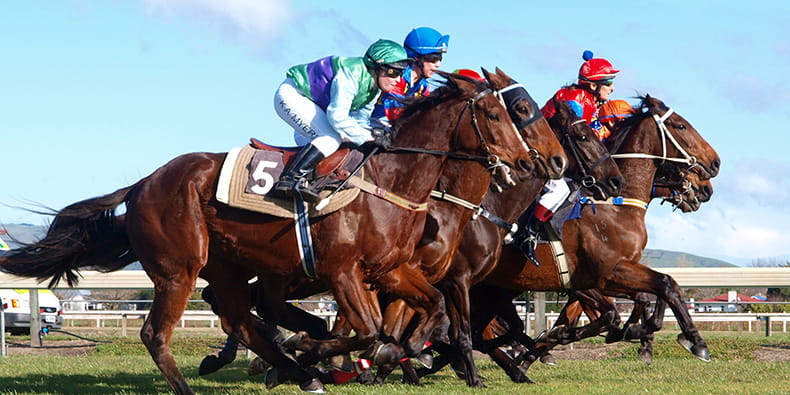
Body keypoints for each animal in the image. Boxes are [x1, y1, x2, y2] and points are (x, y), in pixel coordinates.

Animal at [0, 72, 536, 394]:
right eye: (495, 114)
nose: (529, 161)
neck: (393, 183)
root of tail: (143, 183)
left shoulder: (392, 270)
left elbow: (431, 312)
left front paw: (386, 352)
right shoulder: (345, 272)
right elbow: (367, 329)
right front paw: (320, 349)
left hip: (229, 267)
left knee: (241, 320)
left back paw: (299, 370)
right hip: (180, 268)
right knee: (158, 333)